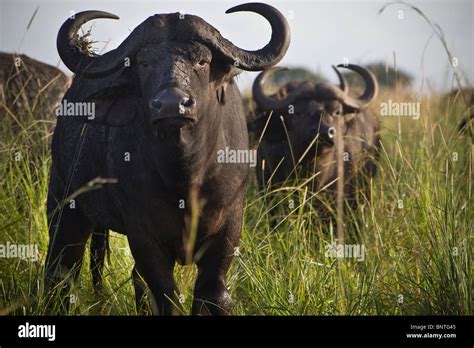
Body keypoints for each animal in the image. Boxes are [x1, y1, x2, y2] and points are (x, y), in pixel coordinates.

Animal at [45, 2, 288, 316]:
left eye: (202, 61)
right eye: (144, 63)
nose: (172, 104)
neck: (185, 176)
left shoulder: (230, 221)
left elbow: (213, 293)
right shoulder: (143, 233)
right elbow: (166, 295)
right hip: (64, 203)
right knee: (62, 268)